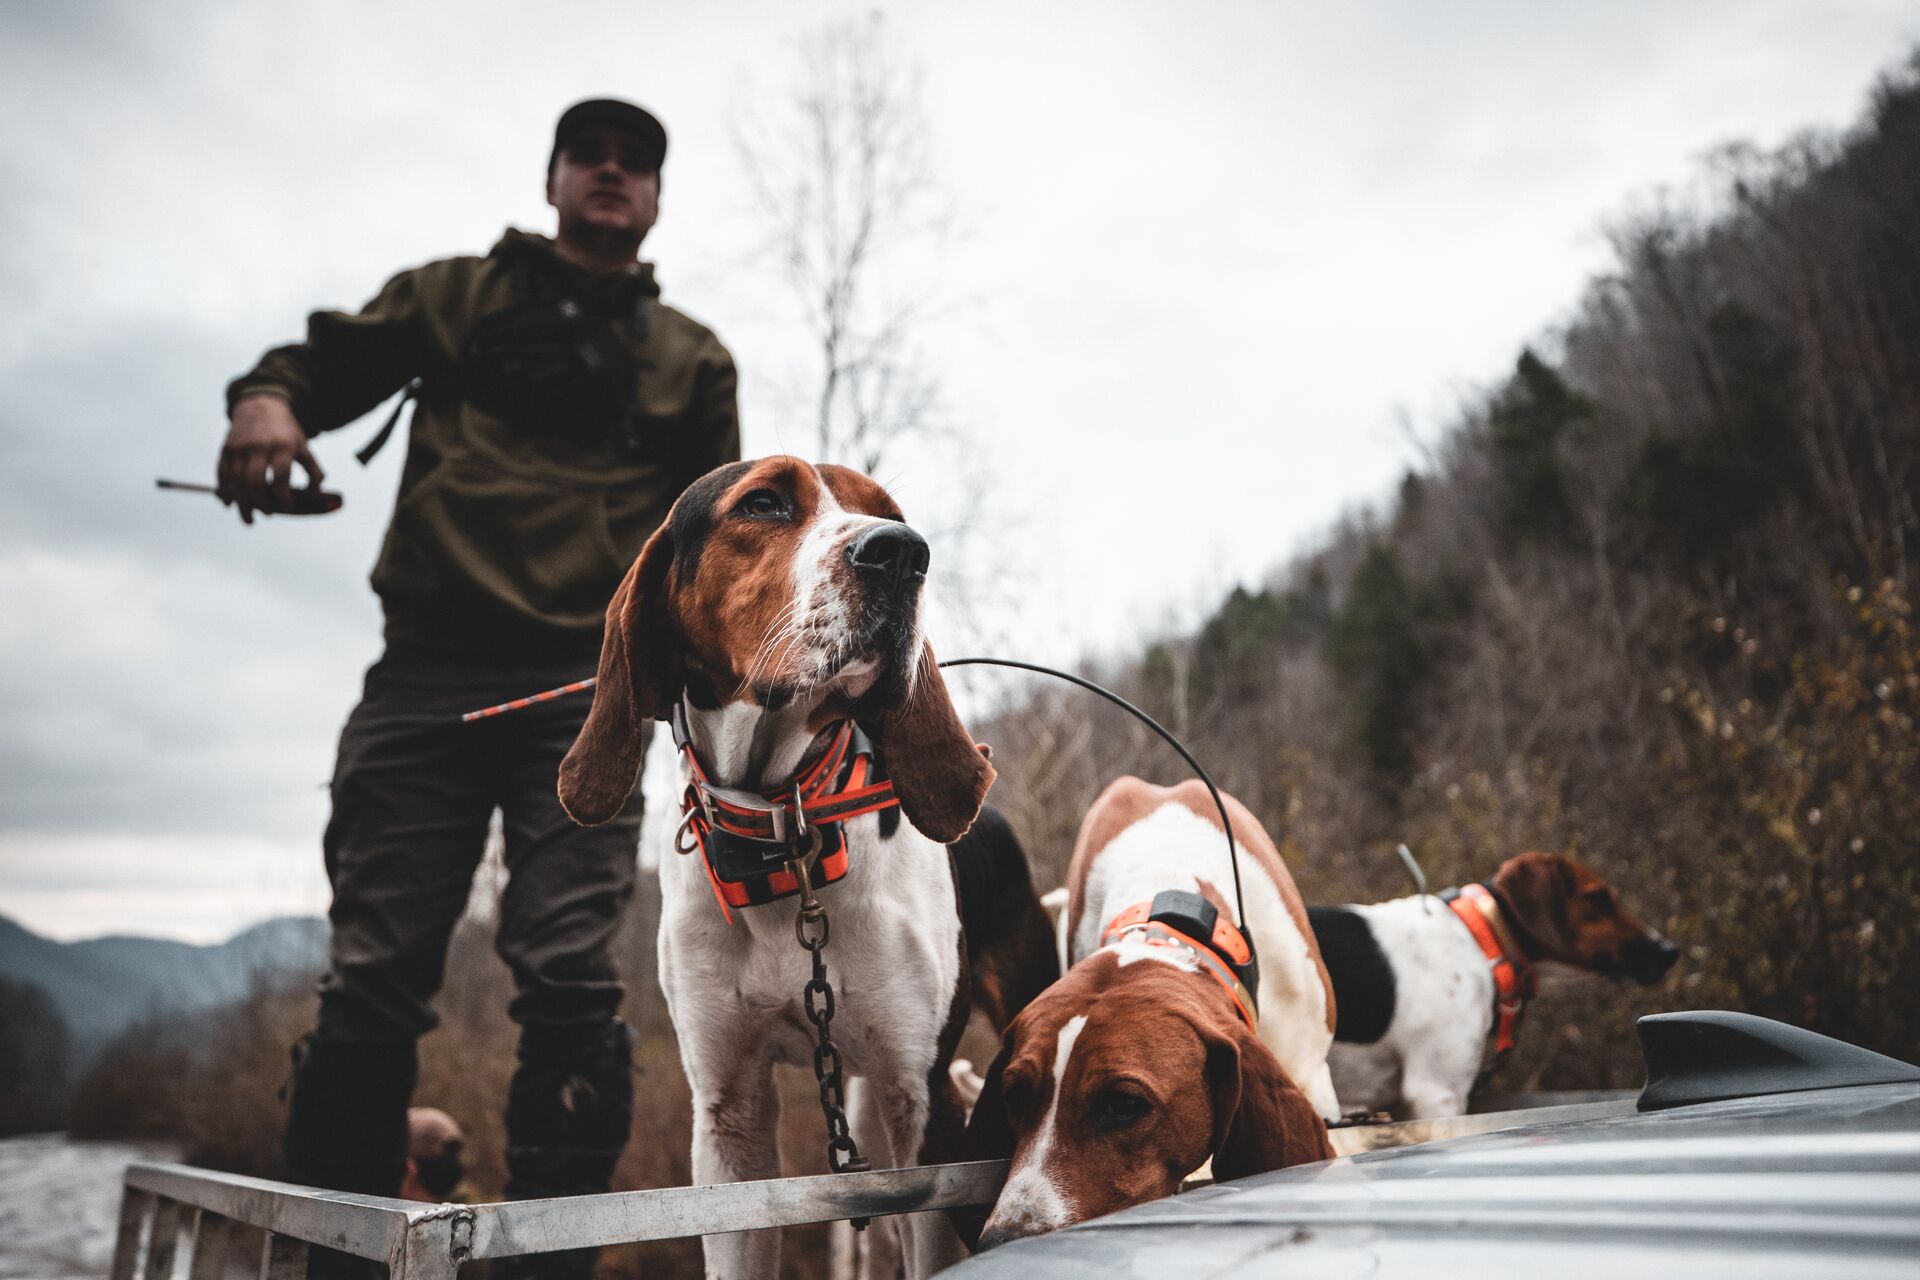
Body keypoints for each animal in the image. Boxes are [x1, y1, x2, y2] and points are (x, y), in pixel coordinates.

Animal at [560, 454, 1052, 1274]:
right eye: (762, 503)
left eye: (891, 513)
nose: (903, 554)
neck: (784, 841)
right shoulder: (729, 1115)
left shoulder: (922, 1103)